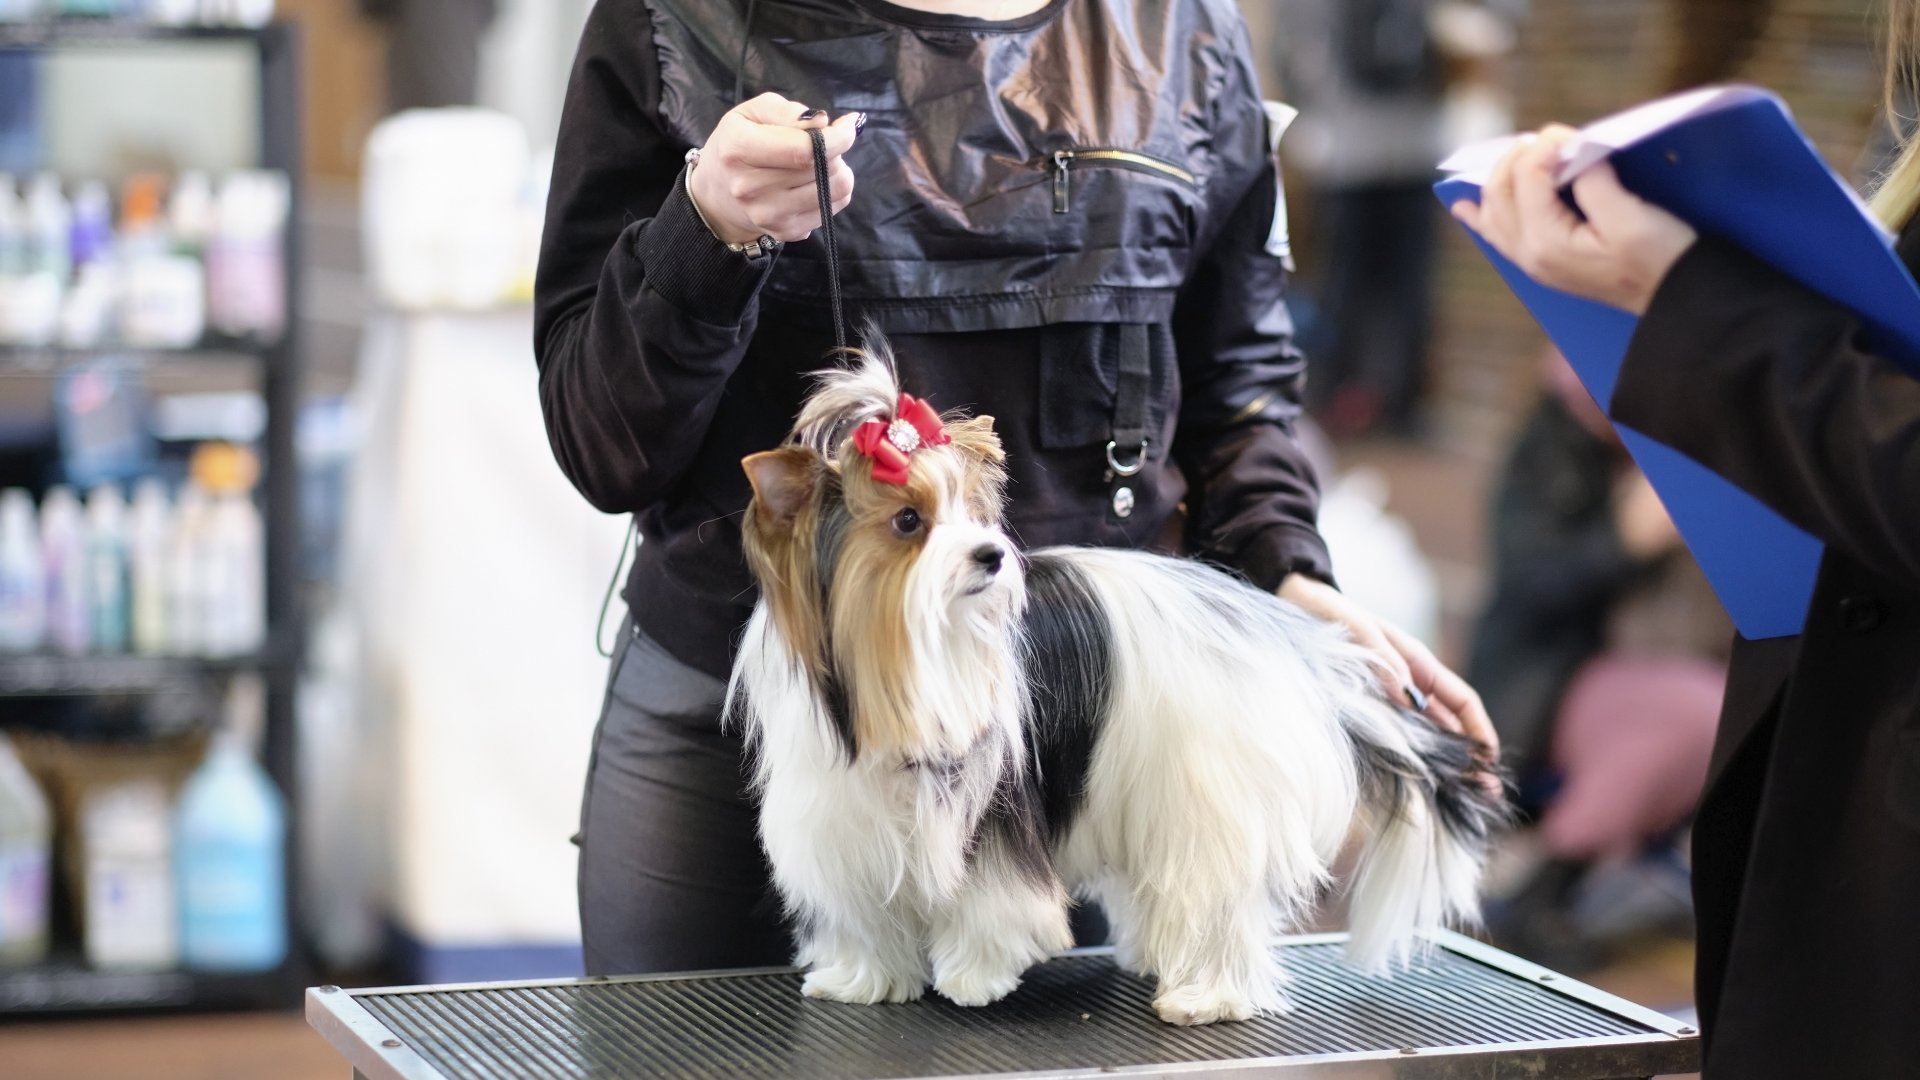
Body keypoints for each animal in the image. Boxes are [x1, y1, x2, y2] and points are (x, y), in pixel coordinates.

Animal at [725, 345, 1505, 1022]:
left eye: (974, 515)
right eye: (909, 521)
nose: (991, 555)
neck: (902, 663)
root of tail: (1290, 641)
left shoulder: (994, 807)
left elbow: (994, 900)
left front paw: (975, 974)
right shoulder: (842, 814)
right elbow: (865, 909)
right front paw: (866, 978)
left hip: (1207, 790)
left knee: (1214, 899)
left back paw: (1206, 995)